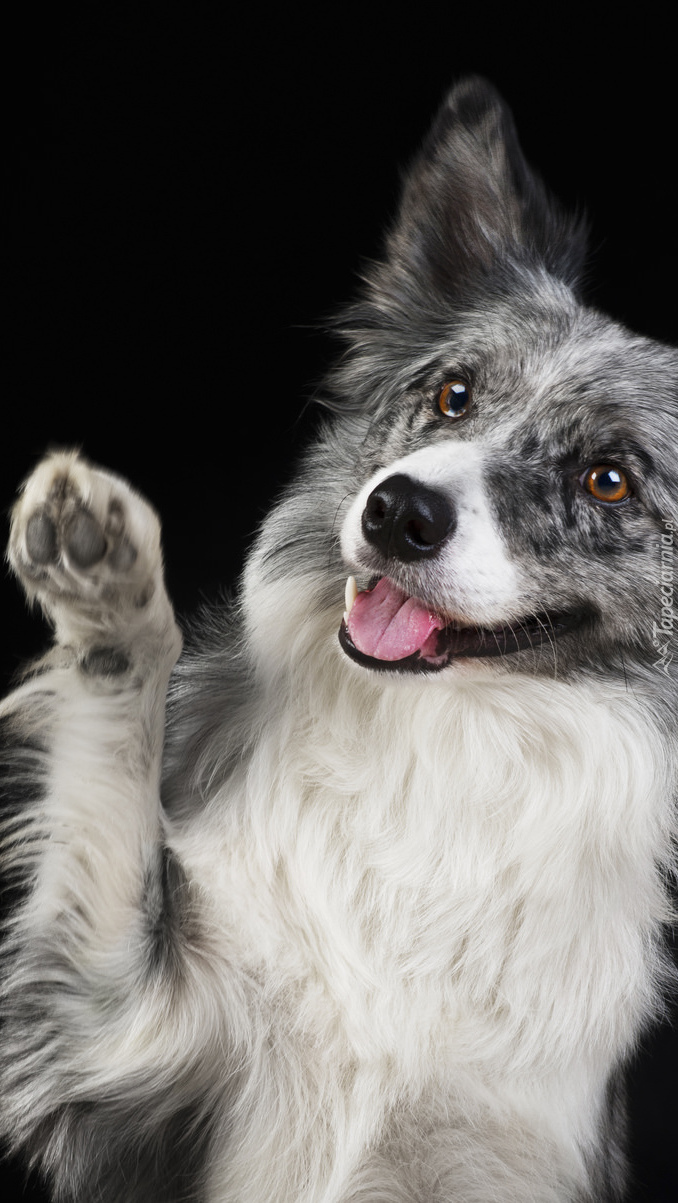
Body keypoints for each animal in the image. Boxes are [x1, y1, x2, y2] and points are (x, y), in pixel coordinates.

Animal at [1, 77, 678, 1203]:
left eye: (610, 479)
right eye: (453, 394)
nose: (399, 510)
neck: (452, 744)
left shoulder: (510, 1156)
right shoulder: (111, 1037)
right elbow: (107, 793)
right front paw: (107, 589)